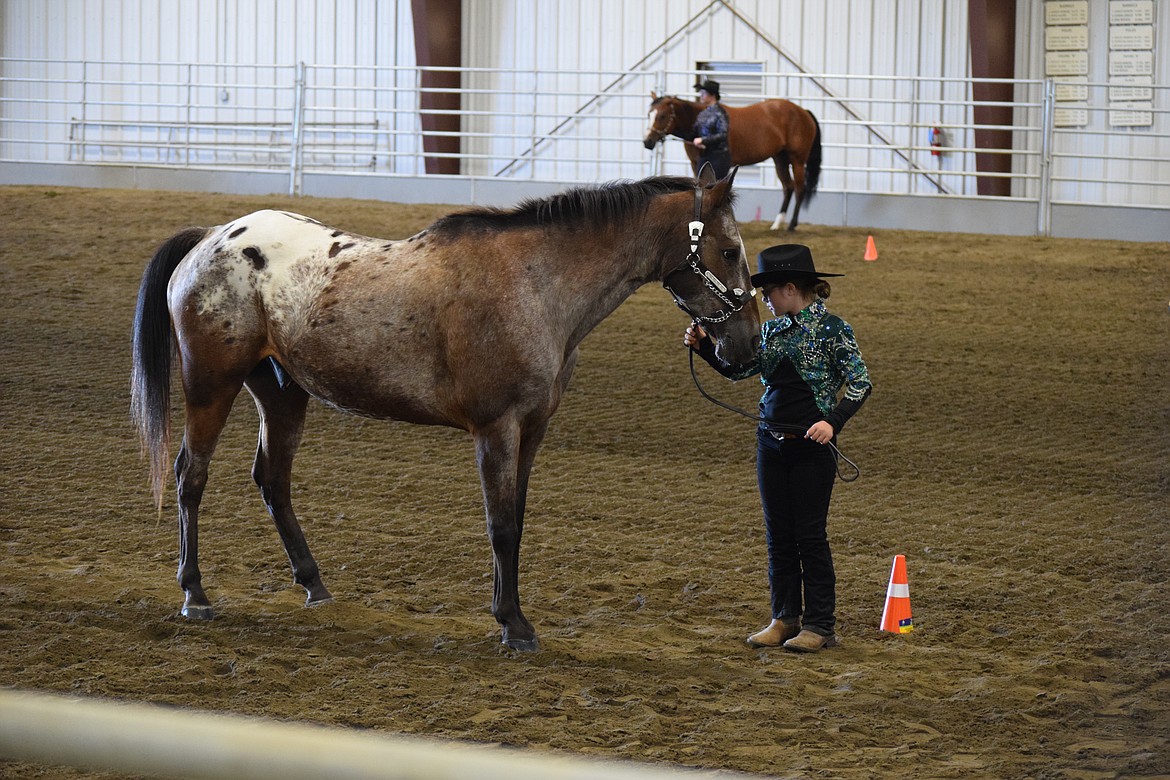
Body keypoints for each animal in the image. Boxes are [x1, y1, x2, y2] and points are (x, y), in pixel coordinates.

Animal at [132, 166, 762, 654]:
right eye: (729, 250)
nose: (747, 346)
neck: (536, 284)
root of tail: (210, 237)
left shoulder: (533, 430)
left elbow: (517, 521)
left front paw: (509, 611)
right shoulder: (496, 429)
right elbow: (500, 525)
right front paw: (513, 625)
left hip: (282, 393)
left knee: (272, 480)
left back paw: (315, 585)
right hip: (211, 386)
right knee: (191, 475)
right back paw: (195, 593)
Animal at [641, 92, 823, 230]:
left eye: (662, 116)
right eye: (649, 114)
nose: (647, 142)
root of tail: (803, 111)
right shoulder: (696, 164)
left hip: (797, 160)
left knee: (799, 189)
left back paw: (792, 225)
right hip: (780, 159)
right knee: (788, 187)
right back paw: (777, 224)